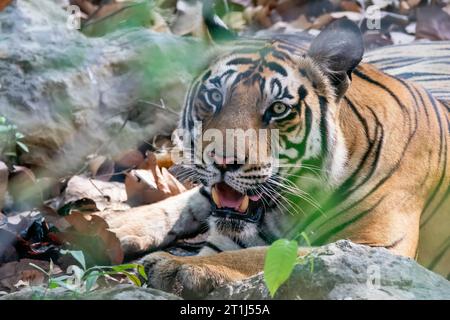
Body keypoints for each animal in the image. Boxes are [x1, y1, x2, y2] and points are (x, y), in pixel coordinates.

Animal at [113, 18, 450, 298]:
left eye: (277, 109)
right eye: (215, 97)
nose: (222, 161)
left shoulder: (377, 250)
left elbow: (266, 254)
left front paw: (177, 267)